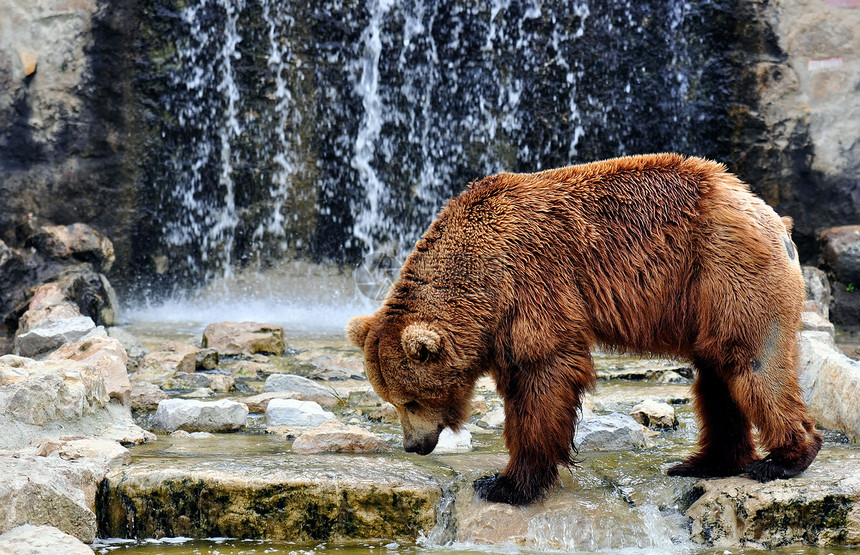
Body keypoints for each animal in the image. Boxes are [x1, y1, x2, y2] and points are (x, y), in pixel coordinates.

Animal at [346, 154, 824, 506]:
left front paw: (506, 484)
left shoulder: (531, 281)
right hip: (704, 296)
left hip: (725, 268)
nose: (413, 446)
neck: (479, 277)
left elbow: (542, 376)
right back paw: (706, 462)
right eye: (390, 399)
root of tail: (769, 213)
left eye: (411, 400)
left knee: (751, 360)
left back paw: (784, 458)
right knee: (717, 377)